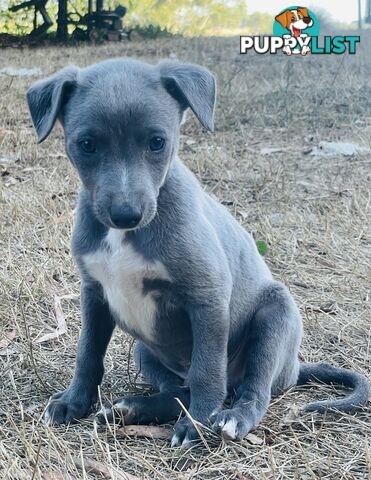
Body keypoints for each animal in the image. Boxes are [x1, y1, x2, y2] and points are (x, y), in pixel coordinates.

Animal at [26, 59, 370, 446]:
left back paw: (230, 416)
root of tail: (294, 368)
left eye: (157, 142)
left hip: (275, 320)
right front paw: (74, 401)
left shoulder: (207, 297)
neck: (126, 236)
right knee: (180, 392)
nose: (126, 214)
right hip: (146, 350)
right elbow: (87, 353)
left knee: (251, 390)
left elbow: (207, 369)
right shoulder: (94, 295)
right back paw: (131, 410)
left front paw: (199, 424)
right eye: (87, 144)